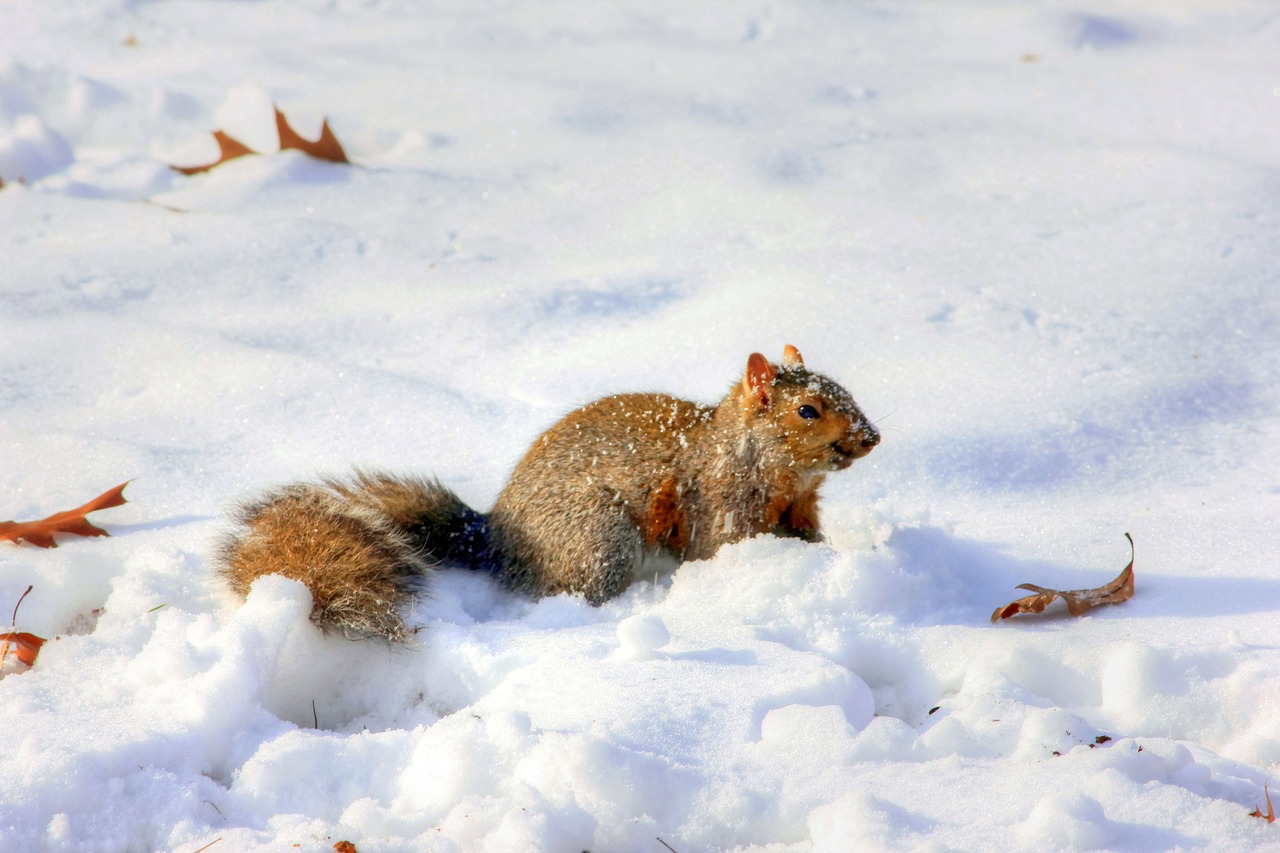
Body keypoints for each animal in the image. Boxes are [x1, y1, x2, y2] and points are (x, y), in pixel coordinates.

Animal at [220, 345, 880, 637]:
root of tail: (496, 537)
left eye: (846, 389)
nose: (871, 437)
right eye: (807, 410)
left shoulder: (801, 510)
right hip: (599, 537)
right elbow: (722, 549)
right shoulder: (718, 508)